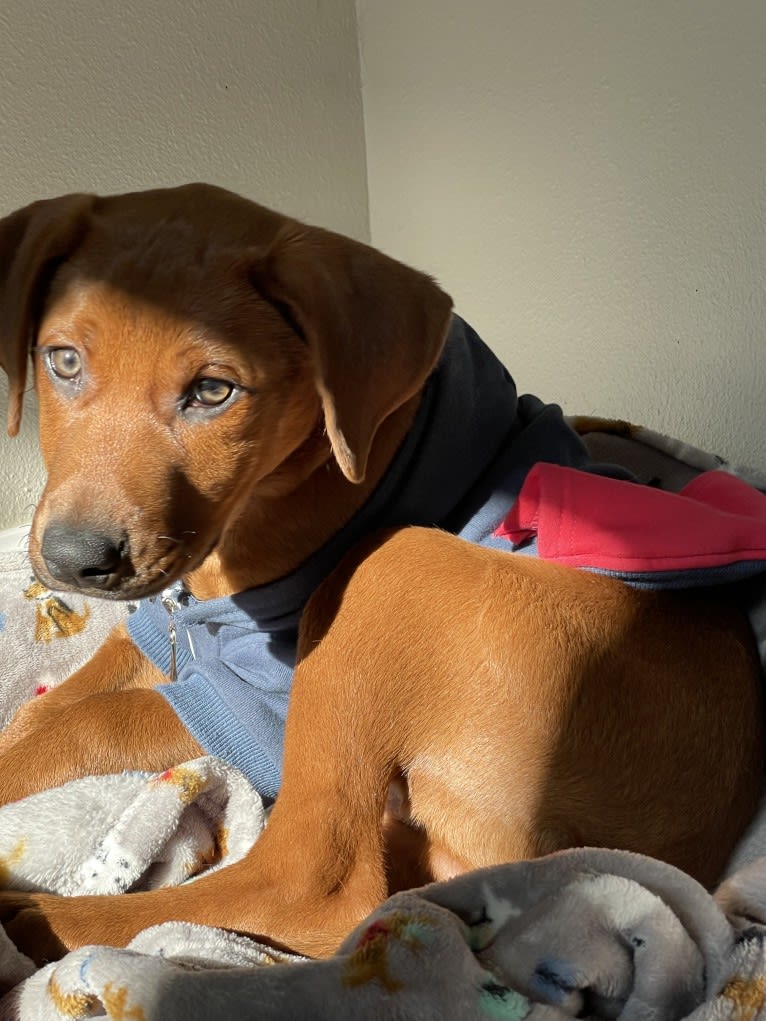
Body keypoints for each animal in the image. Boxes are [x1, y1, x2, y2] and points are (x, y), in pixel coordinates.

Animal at [0, 185, 763, 963]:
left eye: (214, 391)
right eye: (63, 361)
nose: (74, 561)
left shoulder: (259, 706)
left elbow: (95, 718)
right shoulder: (163, 621)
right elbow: (52, 706)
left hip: (386, 569)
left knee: (318, 885)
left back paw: (40, 919)